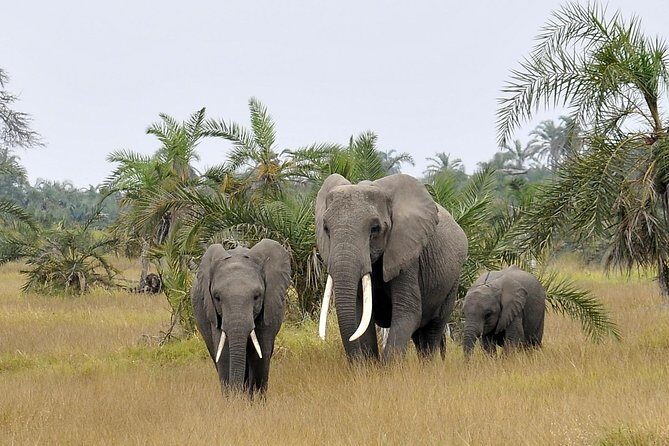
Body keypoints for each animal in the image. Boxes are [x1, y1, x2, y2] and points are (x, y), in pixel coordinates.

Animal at [191, 239, 291, 396]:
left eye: (257, 296)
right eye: (217, 297)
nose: (237, 394)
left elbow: (260, 354)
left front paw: (254, 401)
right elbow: (224, 354)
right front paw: (233, 400)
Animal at [315, 173, 468, 361]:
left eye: (375, 229)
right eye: (326, 228)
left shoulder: (407, 254)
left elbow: (407, 312)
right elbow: (360, 313)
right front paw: (368, 365)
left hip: (452, 281)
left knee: (433, 329)